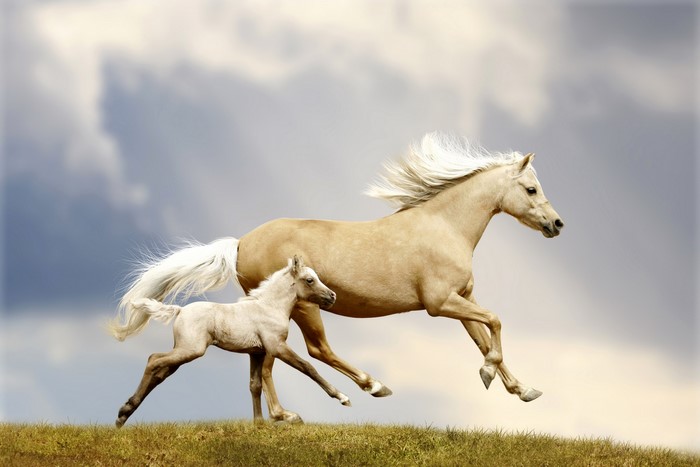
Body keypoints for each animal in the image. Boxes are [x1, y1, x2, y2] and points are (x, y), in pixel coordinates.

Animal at [114, 256, 350, 428]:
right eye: (310, 280)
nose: (332, 296)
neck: (270, 307)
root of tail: (179, 310)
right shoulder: (276, 347)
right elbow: (307, 367)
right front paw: (340, 398)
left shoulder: (257, 352)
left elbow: (255, 385)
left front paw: (259, 423)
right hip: (191, 350)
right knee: (154, 359)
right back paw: (124, 412)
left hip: (183, 352)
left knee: (159, 371)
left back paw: (123, 415)